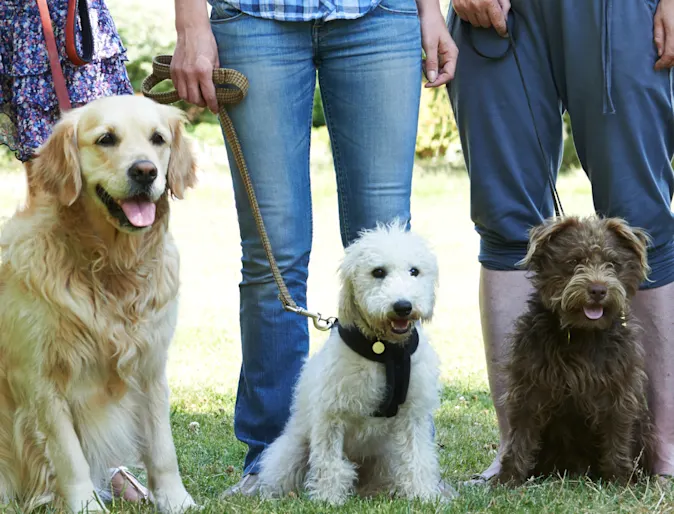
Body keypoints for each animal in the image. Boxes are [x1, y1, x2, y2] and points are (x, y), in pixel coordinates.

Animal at [0, 94, 198, 510]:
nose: (145, 171)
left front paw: (176, 501)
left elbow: (162, 449)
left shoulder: (151, 367)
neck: (111, 267)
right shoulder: (40, 378)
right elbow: (69, 456)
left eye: (158, 139)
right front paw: (86, 506)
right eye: (106, 139)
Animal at [256, 219, 440, 500]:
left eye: (414, 271)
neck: (384, 352)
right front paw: (328, 497)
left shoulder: (413, 413)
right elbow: (329, 461)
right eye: (378, 272)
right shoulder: (331, 414)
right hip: (292, 450)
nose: (403, 306)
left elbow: (416, 456)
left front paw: (422, 494)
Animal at [490, 213, 652, 484]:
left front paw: (621, 480)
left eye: (612, 263)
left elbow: (617, 433)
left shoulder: (619, 389)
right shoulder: (529, 386)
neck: (581, 334)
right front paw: (508, 478)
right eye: (574, 261)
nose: (598, 289)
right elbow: (521, 435)